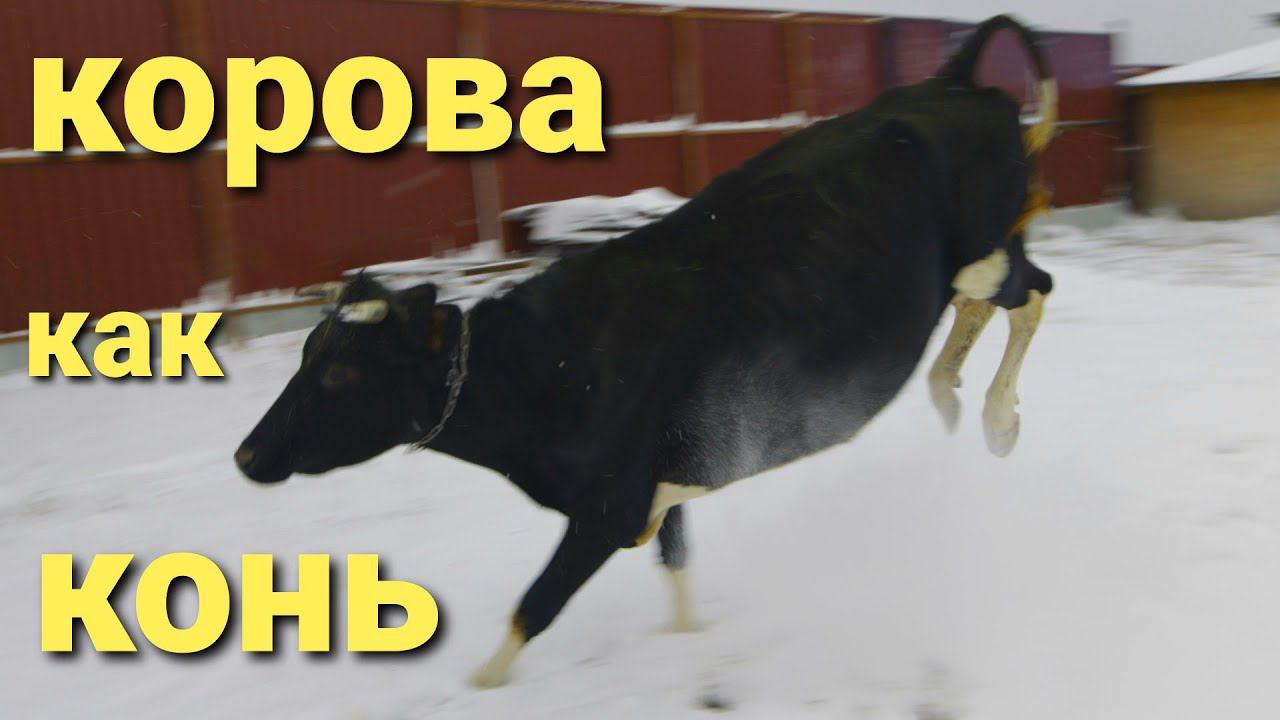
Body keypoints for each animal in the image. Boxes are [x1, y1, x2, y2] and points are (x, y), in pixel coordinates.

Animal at [235, 14, 1056, 688]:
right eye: (306, 355)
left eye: (341, 372)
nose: (246, 455)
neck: (537, 369)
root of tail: (949, 83)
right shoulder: (662, 487)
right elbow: (679, 573)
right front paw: (690, 642)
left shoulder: (608, 506)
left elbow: (532, 607)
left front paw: (477, 686)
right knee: (988, 304)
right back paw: (950, 397)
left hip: (981, 250)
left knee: (1028, 289)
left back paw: (996, 418)